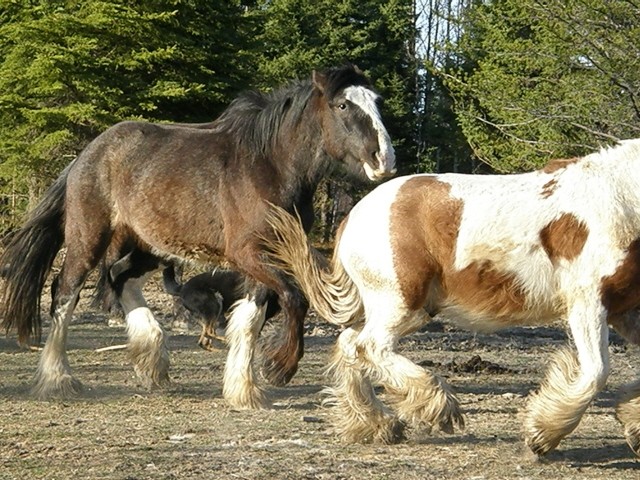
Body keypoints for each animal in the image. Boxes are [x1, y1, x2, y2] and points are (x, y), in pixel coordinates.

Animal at [0, 64, 396, 408]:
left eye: (377, 102)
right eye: (343, 104)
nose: (385, 159)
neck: (270, 167)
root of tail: (86, 155)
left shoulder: (268, 255)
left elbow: (251, 318)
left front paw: (243, 389)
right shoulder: (247, 253)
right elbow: (294, 298)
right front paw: (279, 367)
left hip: (151, 246)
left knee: (120, 277)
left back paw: (151, 358)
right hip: (89, 238)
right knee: (65, 292)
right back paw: (58, 378)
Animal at [266, 140, 640, 458]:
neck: (624, 198)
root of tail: (353, 217)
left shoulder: (625, 311)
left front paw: (633, 425)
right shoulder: (587, 302)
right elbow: (596, 372)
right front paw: (540, 436)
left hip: (404, 308)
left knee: (350, 344)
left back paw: (378, 424)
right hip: (401, 302)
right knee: (369, 347)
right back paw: (437, 406)